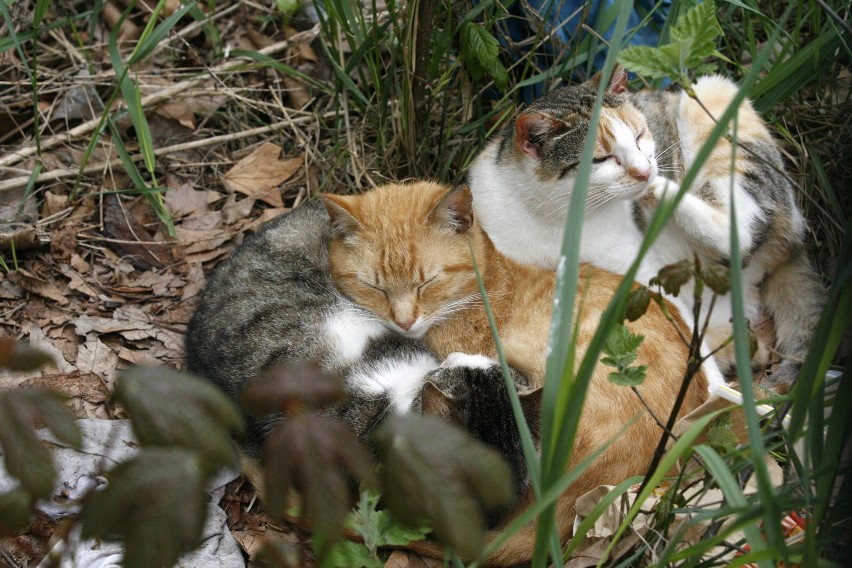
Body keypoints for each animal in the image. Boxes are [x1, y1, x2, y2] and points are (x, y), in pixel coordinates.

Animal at [466, 66, 824, 390]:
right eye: (601, 159)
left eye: (640, 136)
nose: (644, 170)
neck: (560, 220)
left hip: (713, 96)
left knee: (744, 234)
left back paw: (664, 193)